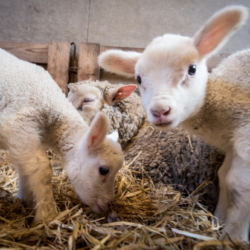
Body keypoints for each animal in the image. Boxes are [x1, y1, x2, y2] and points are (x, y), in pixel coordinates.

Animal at [0, 47, 124, 224]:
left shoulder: (22, 139)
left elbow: (25, 168)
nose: (108, 205)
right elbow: (42, 167)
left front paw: (25, 199)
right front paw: (47, 215)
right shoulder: (17, 124)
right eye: (104, 170)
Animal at [97, 5, 250, 242]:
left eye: (192, 69)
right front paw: (218, 222)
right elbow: (225, 177)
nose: (160, 111)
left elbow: (238, 184)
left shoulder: (246, 140)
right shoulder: (234, 148)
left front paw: (234, 237)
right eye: (138, 79)